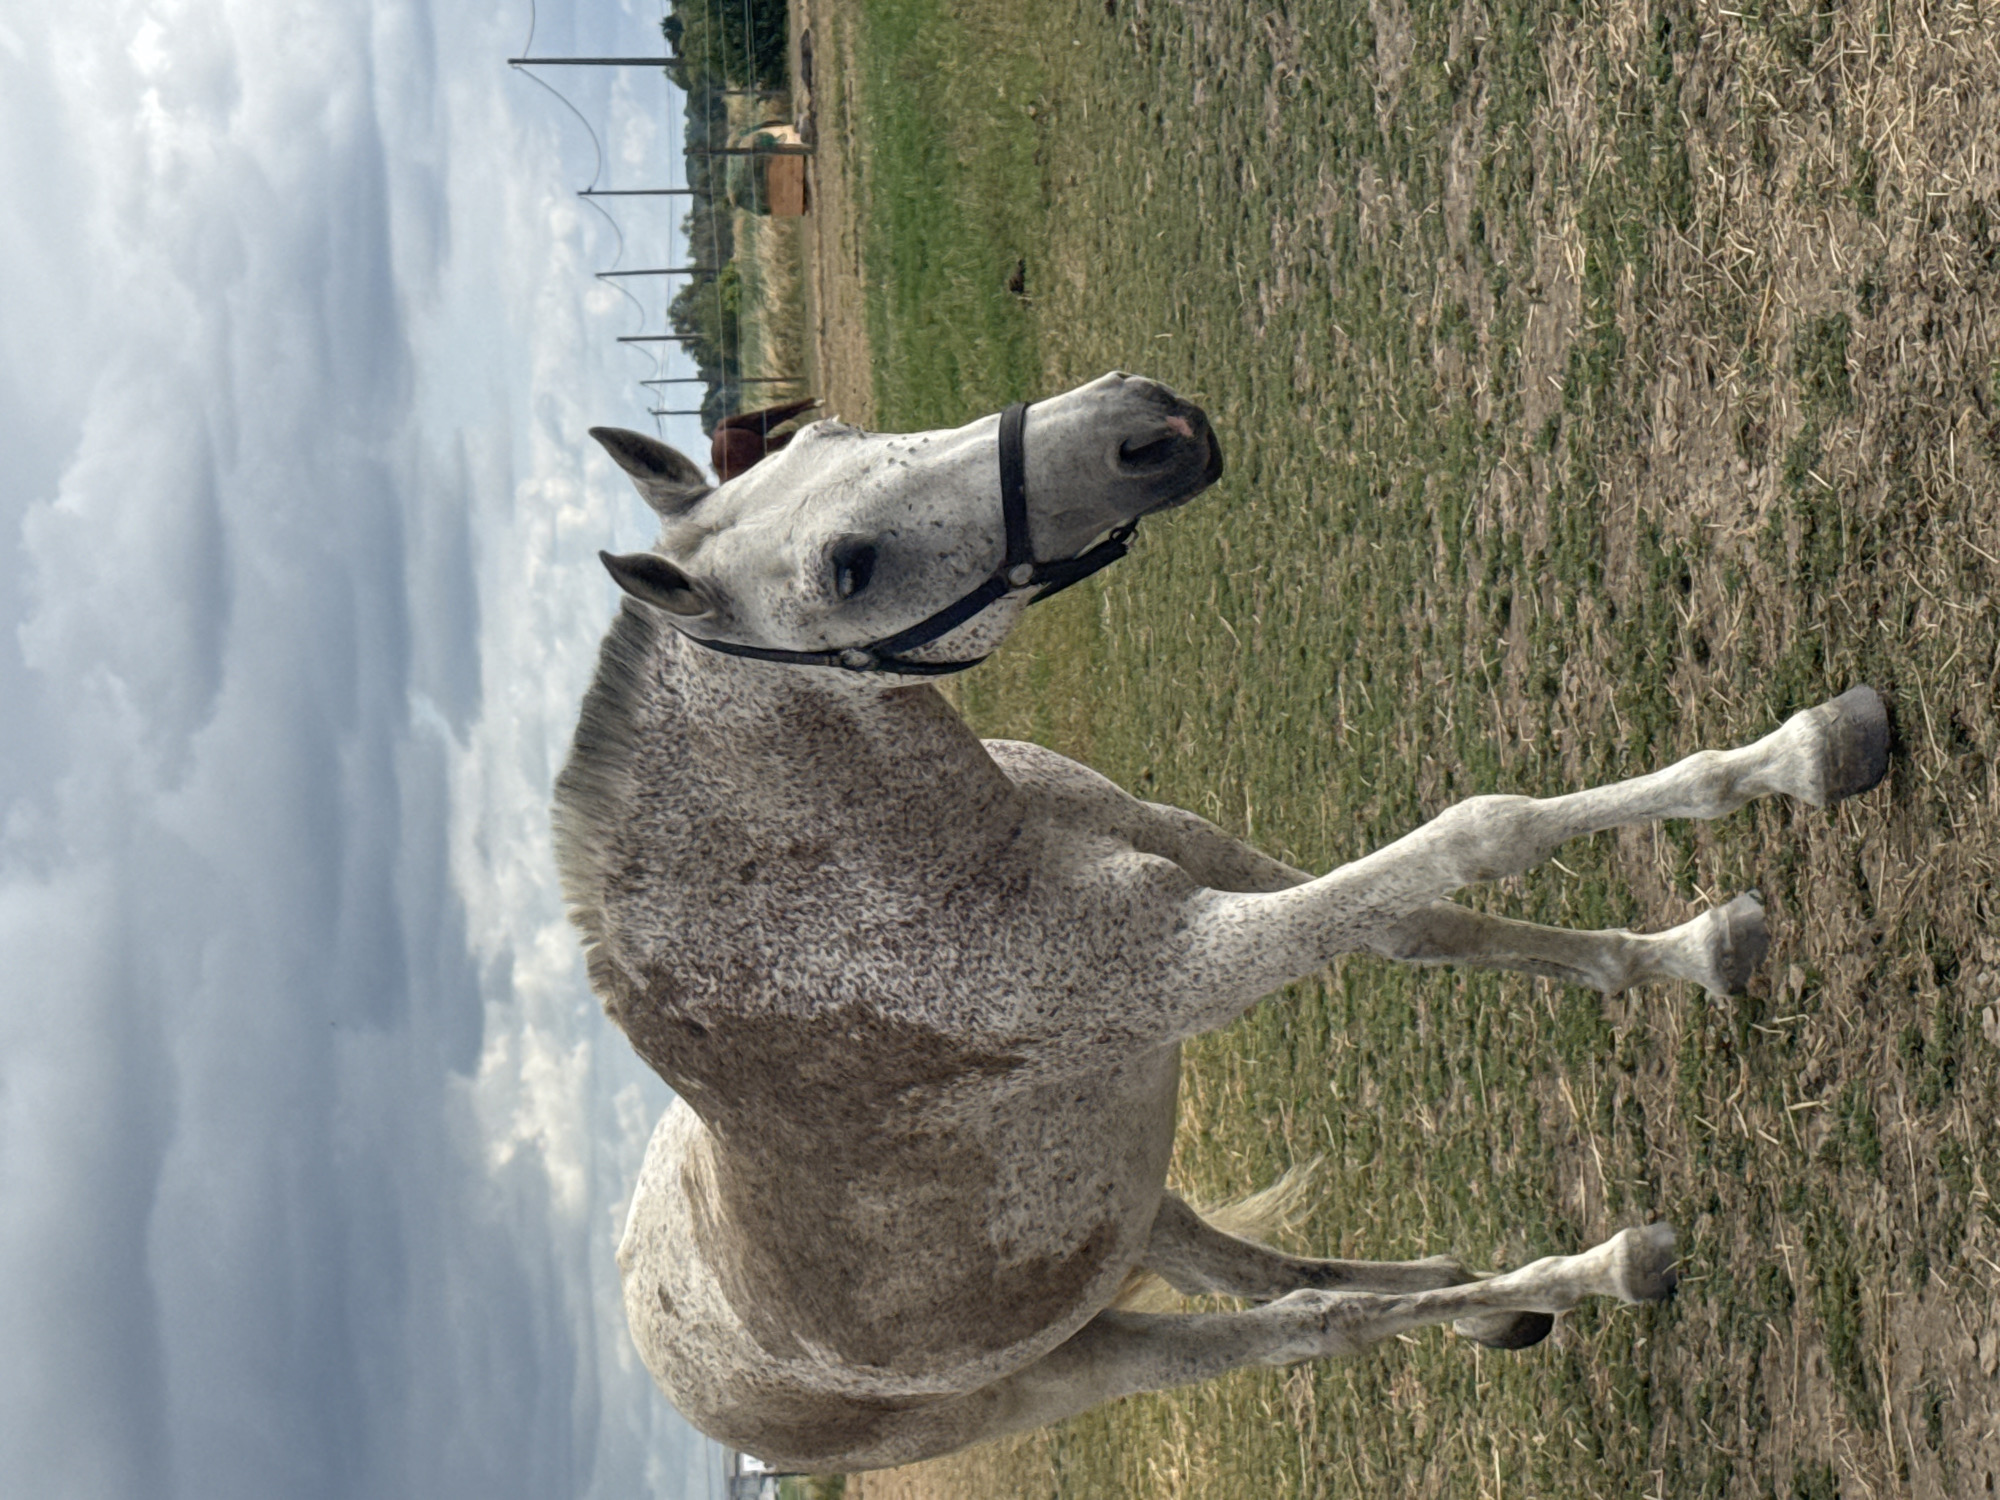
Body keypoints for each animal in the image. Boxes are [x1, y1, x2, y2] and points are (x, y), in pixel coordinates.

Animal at [552, 372, 1889, 1472]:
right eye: (849, 567)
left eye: (826, 430)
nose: (1144, 425)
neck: (881, 880)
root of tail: (684, 1379)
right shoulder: (1193, 963)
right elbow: (1478, 832)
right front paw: (1808, 751)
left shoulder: (1192, 851)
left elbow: (1424, 924)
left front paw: (1696, 939)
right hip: (1080, 1363)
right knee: (1304, 1326)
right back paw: (1591, 1272)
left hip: (1126, 1219)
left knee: (1266, 1271)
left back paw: (1493, 1296)